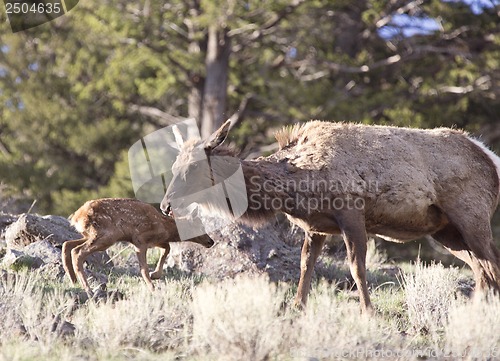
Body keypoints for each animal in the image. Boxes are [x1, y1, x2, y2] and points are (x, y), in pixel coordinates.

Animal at [61, 197, 214, 296]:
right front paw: (152, 286)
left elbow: (167, 248)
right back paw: (88, 289)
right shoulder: (140, 239)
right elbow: (144, 268)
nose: (211, 241)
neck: (164, 227)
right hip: (106, 236)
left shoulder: (154, 241)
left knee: (67, 244)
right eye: (199, 226)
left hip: (92, 235)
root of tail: (77, 217)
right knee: (78, 251)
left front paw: (155, 275)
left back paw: (73, 280)